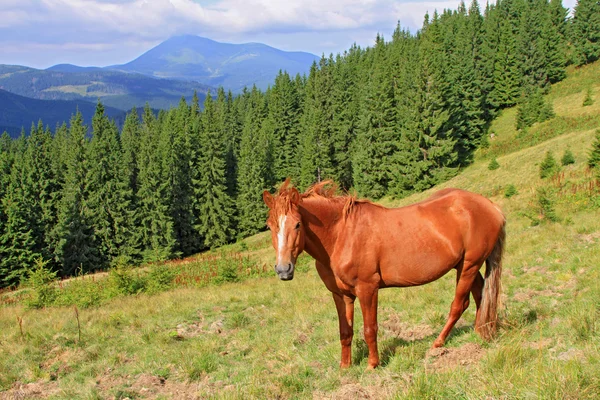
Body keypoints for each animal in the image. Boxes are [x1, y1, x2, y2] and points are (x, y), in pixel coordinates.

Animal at [264, 180, 506, 368]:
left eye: (297, 224)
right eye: (270, 226)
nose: (283, 270)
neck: (341, 235)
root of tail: (491, 207)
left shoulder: (367, 289)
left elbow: (370, 329)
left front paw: (373, 364)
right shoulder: (341, 295)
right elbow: (345, 331)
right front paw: (345, 367)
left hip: (469, 266)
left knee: (459, 304)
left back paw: (438, 343)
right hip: (465, 266)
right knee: (480, 296)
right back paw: (480, 332)